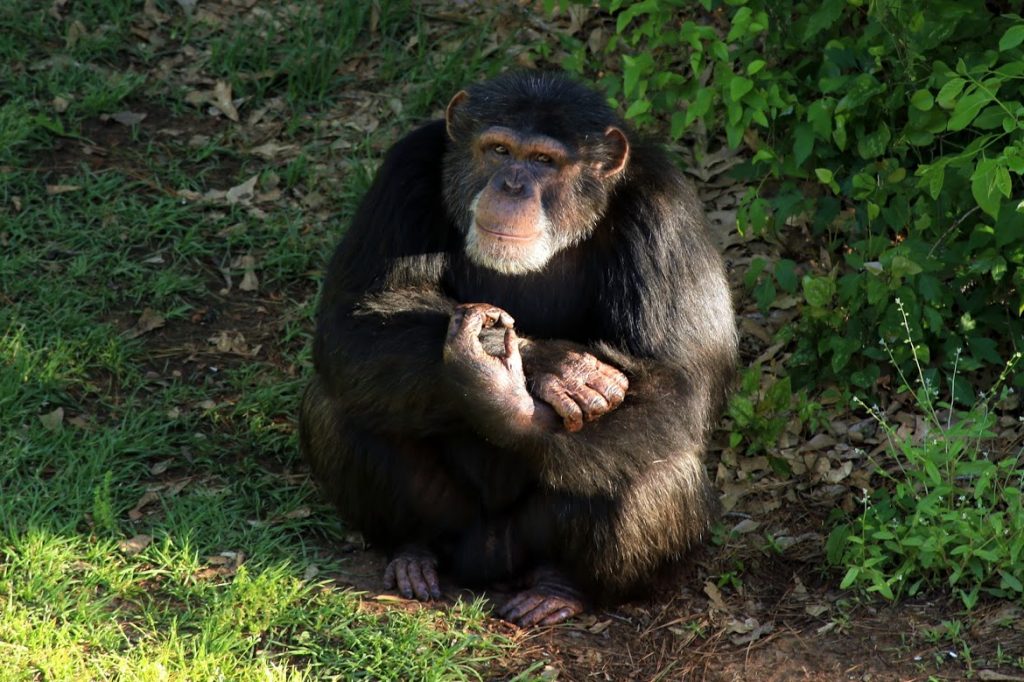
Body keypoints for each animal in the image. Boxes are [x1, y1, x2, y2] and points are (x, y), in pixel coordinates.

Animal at [296, 70, 737, 626]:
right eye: (499, 150)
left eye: (544, 160)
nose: (511, 184)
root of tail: (489, 559)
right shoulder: (403, 169)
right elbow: (354, 321)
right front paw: (541, 364)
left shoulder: (667, 217)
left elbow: (680, 381)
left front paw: (507, 401)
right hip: (453, 521)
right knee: (340, 403)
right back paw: (412, 552)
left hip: (534, 539)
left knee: (658, 461)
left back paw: (561, 587)